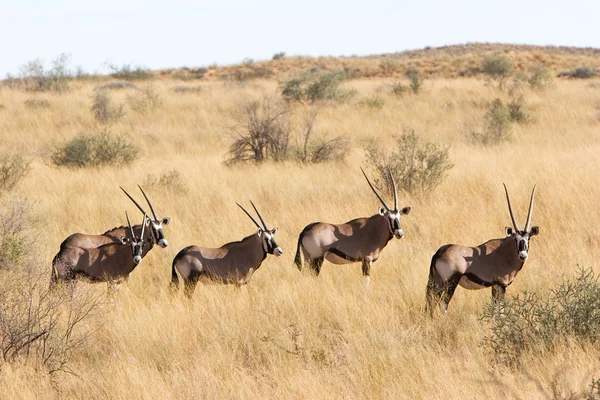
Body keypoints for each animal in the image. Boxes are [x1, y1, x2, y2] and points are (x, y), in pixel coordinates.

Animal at [424, 184, 540, 316]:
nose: (523, 255)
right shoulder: (500, 285)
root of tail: (438, 253)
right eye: (516, 239)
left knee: (430, 304)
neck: (506, 253)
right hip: (449, 284)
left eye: (528, 238)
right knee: (443, 304)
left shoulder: (495, 286)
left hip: (436, 282)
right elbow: (500, 310)